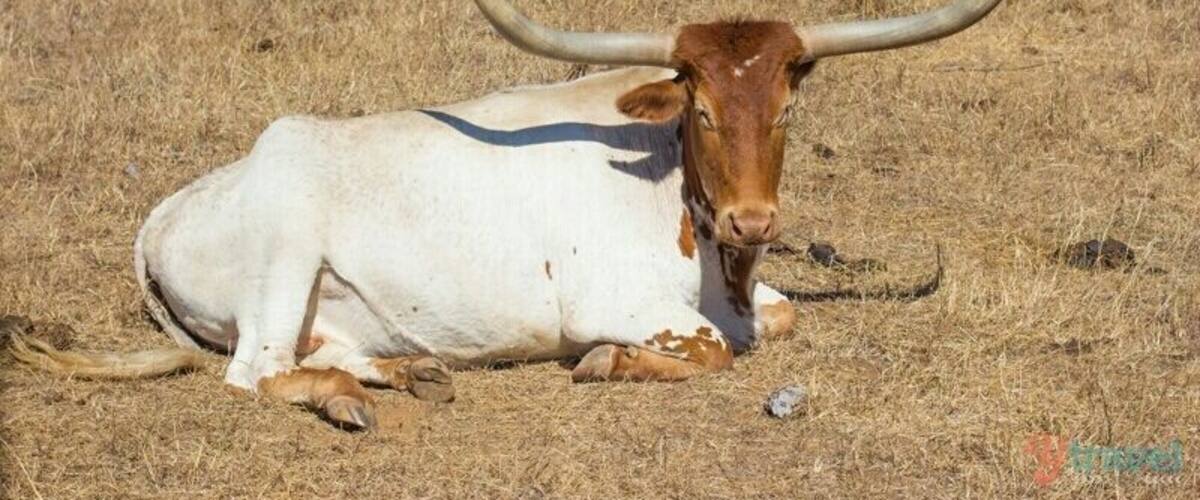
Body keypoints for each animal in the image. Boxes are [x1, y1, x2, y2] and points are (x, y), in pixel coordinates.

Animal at [11, 0, 1002, 429]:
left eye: (788, 107)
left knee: (313, 355)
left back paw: (405, 375)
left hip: (323, 309)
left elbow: (782, 317)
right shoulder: (613, 300)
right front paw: (605, 363)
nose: (753, 223)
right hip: (282, 255)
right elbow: (707, 348)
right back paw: (345, 402)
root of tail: (167, 209)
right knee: (254, 373)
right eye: (703, 108)